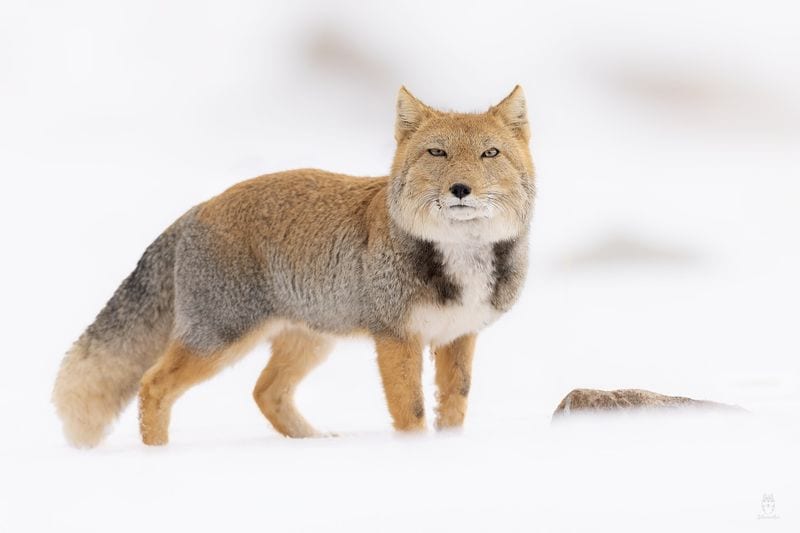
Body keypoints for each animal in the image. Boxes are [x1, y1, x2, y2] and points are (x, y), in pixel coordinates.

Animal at [53, 86, 536, 444]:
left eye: (490, 154)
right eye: (437, 153)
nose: (461, 189)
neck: (460, 257)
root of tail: (198, 208)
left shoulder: (459, 336)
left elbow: (453, 408)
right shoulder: (395, 337)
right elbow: (412, 413)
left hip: (309, 341)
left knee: (265, 392)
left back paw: (314, 442)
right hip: (220, 339)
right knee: (153, 385)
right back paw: (158, 457)